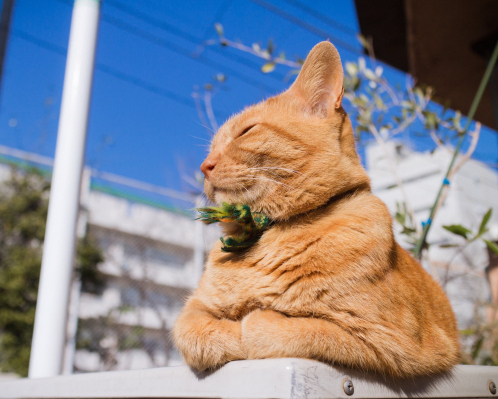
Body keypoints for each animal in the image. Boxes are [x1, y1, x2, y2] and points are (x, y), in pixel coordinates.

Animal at [172, 41, 460, 382]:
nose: (205, 166)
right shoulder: (193, 310)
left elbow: (277, 326)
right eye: (211, 148)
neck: (266, 234)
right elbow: (194, 332)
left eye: (247, 131)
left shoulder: (388, 342)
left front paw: (248, 322)